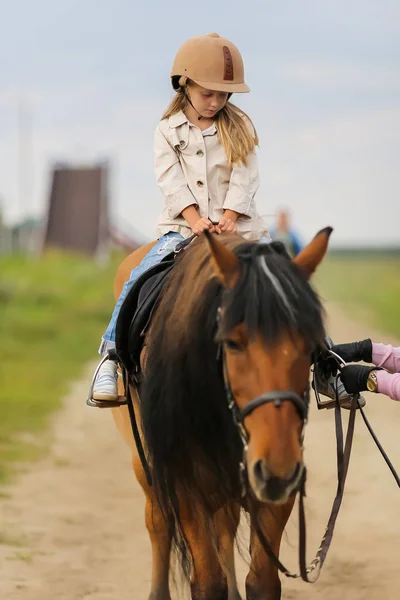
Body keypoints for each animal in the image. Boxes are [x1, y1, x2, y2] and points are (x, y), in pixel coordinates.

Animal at [110, 227, 332, 596]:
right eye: (232, 342)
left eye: (310, 345)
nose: (278, 468)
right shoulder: (184, 479)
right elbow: (207, 582)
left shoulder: (274, 483)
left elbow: (262, 582)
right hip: (146, 462)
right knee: (158, 520)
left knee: (224, 524)